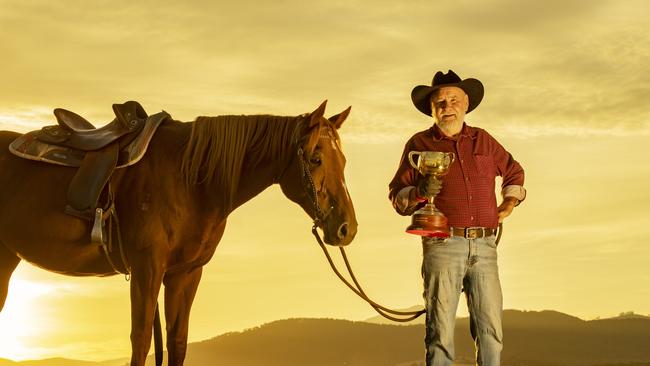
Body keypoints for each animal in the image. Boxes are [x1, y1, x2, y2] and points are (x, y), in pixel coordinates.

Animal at [0, 101, 356, 366]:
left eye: (344, 160)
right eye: (315, 158)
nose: (346, 228)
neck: (191, 180)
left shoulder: (185, 273)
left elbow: (177, 341)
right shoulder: (147, 268)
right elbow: (141, 339)